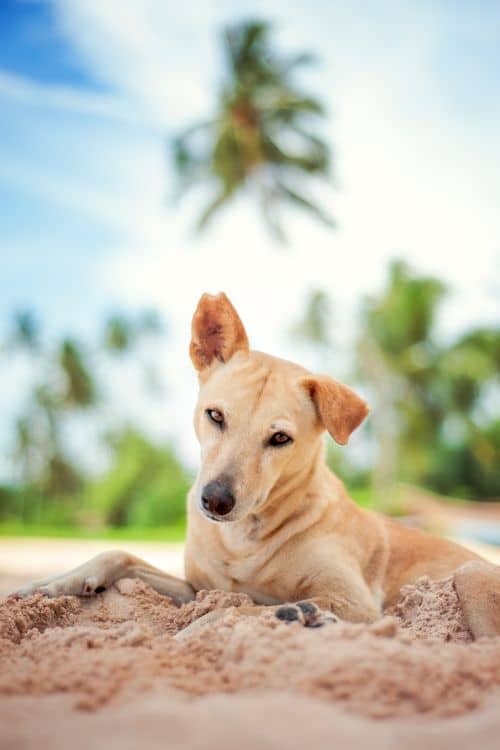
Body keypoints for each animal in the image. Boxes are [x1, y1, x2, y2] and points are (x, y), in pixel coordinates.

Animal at [14, 294, 500, 640]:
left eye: (279, 439)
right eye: (215, 416)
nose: (215, 501)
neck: (245, 537)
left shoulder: (355, 601)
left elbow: (240, 606)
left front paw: (203, 629)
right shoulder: (200, 587)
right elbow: (121, 555)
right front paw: (49, 585)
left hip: (471, 573)